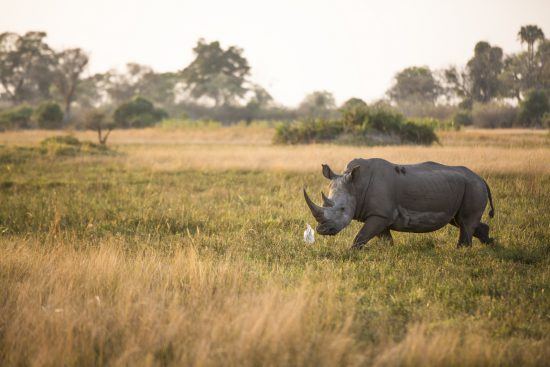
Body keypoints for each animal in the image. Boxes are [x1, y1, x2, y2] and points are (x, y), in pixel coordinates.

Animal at [304, 158, 498, 250]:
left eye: (342, 209)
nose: (322, 230)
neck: (356, 185)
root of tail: (481, 178)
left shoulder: (380, 214)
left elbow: (361, 236)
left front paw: (351, 252)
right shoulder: (379, 214)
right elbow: (384, 239)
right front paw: (389, 251)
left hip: (472, 186)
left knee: (465, 222)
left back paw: (461, 251)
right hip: (463, 187)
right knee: (460, 221)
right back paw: (490, 244)